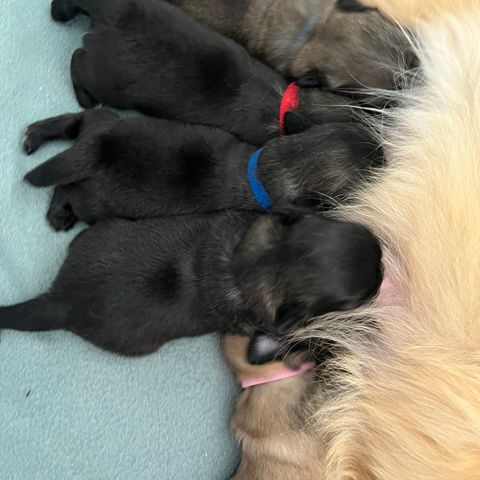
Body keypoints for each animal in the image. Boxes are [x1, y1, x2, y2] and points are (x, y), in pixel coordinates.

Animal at [0, 210, 382, 356]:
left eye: (332, 222)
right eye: (353, 299)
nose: (381, 264)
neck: (263, 264)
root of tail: (60, 299)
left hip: (101, 233)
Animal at [21, 109, 382, 230]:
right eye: (367, 171)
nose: (383, 152)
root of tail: (99, 148)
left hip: (102, 120)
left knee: (75, 119)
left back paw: (36, 133)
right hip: (93, 202)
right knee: (63, 188)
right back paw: (58, 214)